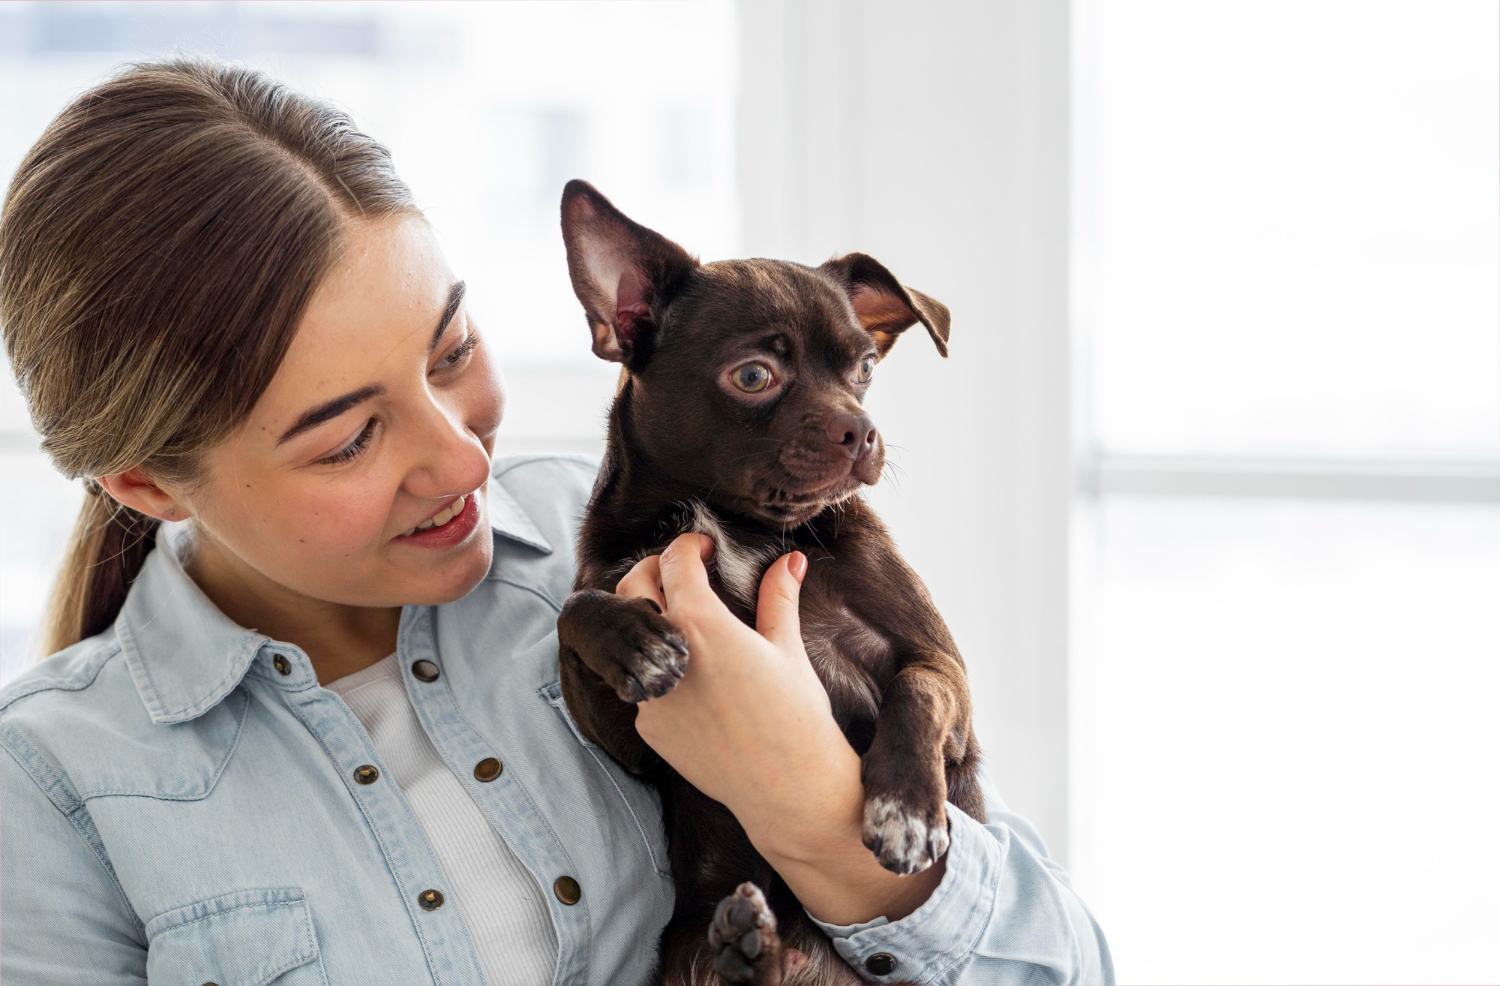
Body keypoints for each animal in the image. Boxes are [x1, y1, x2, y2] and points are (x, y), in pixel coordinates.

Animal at [555, 178, 984, 984]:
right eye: (753, 376)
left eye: (865, 370)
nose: (862, 429)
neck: (740, 522)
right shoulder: (626, 739)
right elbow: (574, 611)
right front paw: (636, 644)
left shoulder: (947, 677)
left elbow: (916, 689)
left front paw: (905, 811)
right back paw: (747, 944)